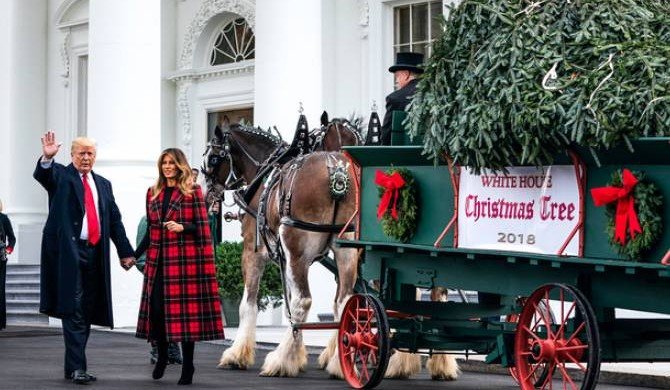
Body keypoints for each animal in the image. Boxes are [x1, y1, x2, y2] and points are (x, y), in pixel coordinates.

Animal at [205, 122, 362, 378]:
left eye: (212, 158)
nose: (207, 191)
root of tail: (337, 172)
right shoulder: (287, 259)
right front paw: (298, 355)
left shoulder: (253, 252)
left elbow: (248, 303)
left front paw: (237, 355)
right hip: (346, 250)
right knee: (344, 301)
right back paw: (340, 362)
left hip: (297, 248)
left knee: (303, 301)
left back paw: (280, 360)